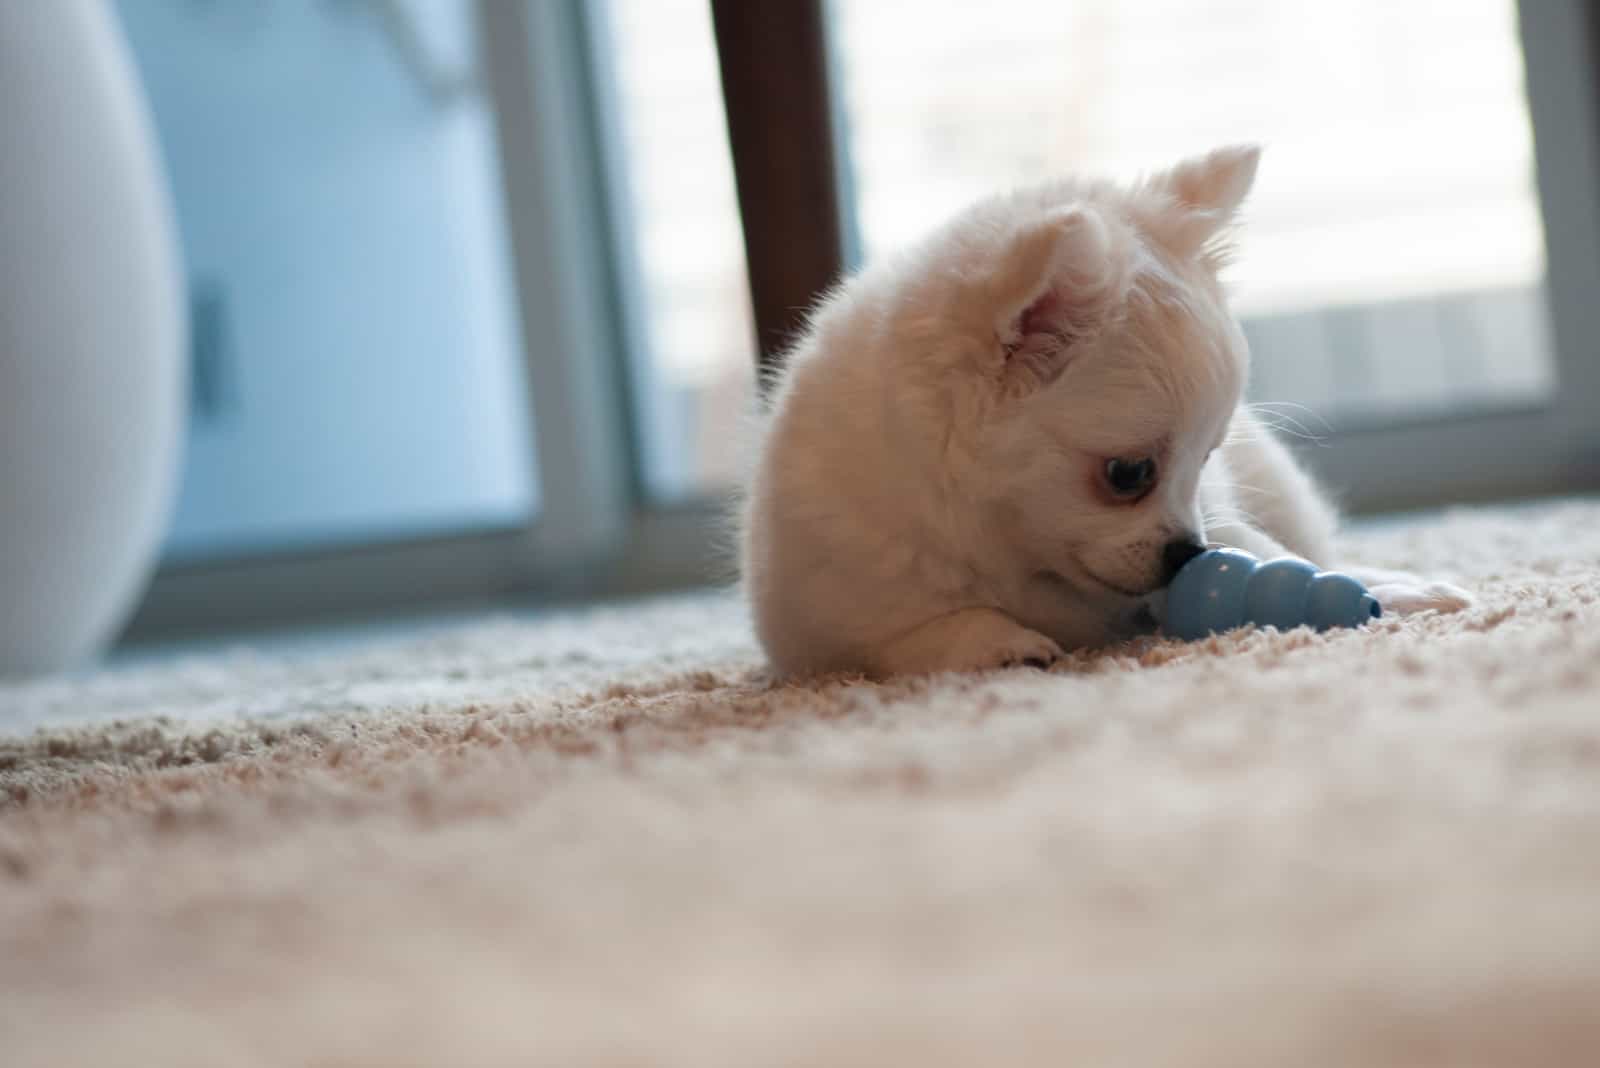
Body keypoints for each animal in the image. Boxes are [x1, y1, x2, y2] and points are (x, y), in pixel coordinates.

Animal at [742, 146, 1465, 674]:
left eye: (1206, 460)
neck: (1011, 549)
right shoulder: (820, 624)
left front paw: (1384, 589)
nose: (1188, 551)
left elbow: (1260, 546)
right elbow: (918, 630)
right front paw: (1000, 643)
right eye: (1128, 475)